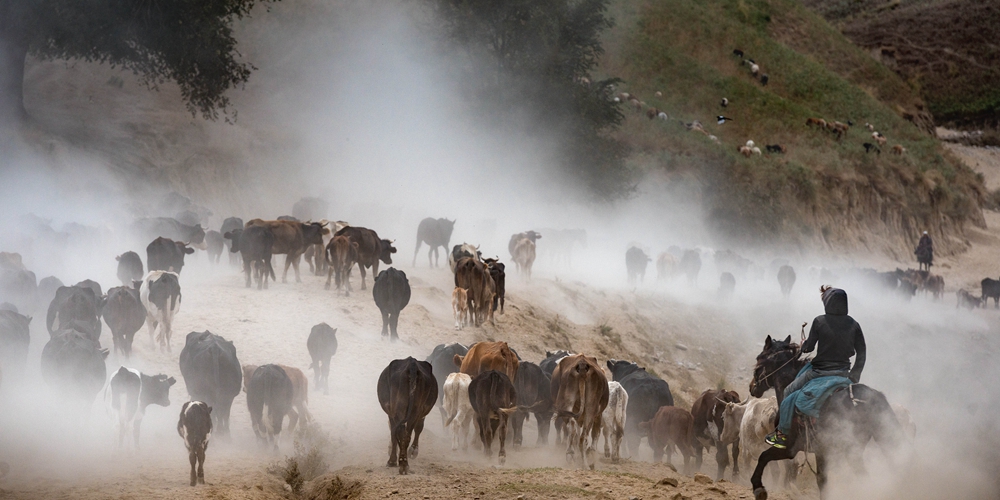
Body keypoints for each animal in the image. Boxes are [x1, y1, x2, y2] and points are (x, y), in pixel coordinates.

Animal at [748, 336, 904, 500]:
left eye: (759, 359)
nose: (752, 387)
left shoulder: (789, 449)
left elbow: (763, 457)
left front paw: (759, 488)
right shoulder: (821, 452)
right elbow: (822, 480)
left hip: (852, 449)